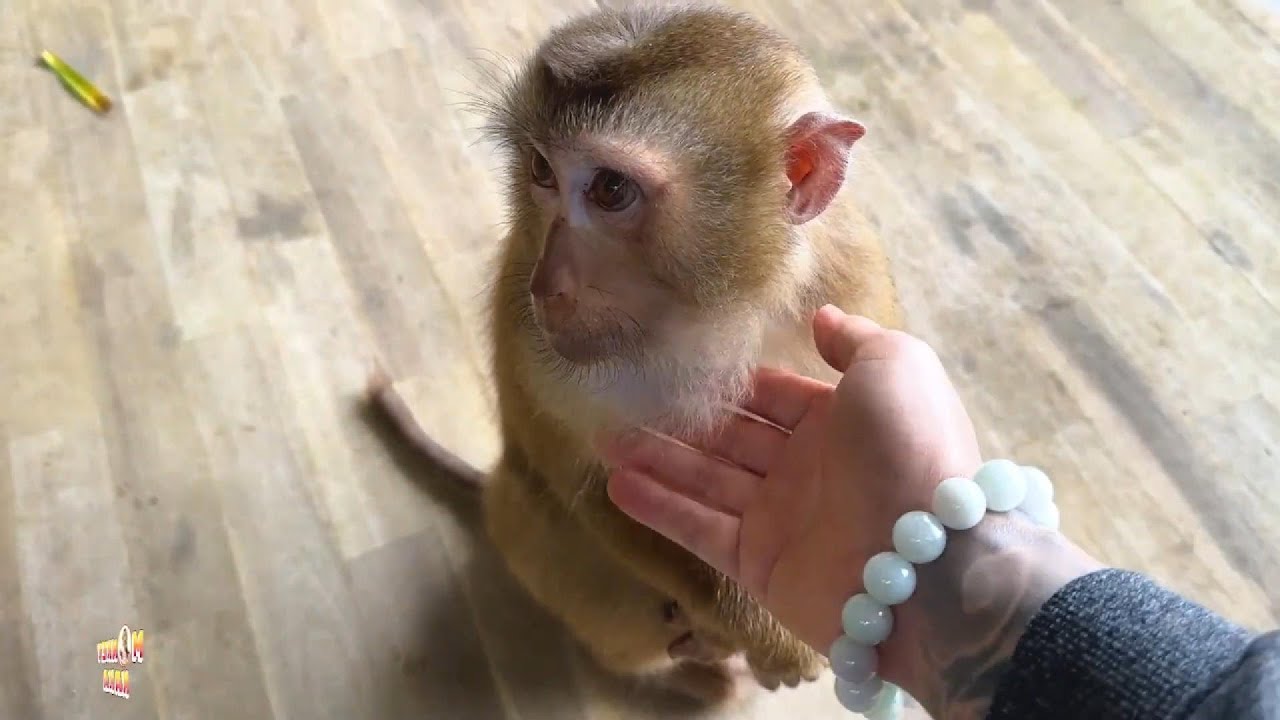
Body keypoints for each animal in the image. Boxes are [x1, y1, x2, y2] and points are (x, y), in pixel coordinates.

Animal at [368, 2, 902, 705]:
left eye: (611, 190)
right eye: (541, 169)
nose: (547, 286)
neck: (724, 313)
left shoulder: (851, 287)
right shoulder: (550, 362)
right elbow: (602, 492)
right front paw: (764, 629)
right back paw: (694, 667)